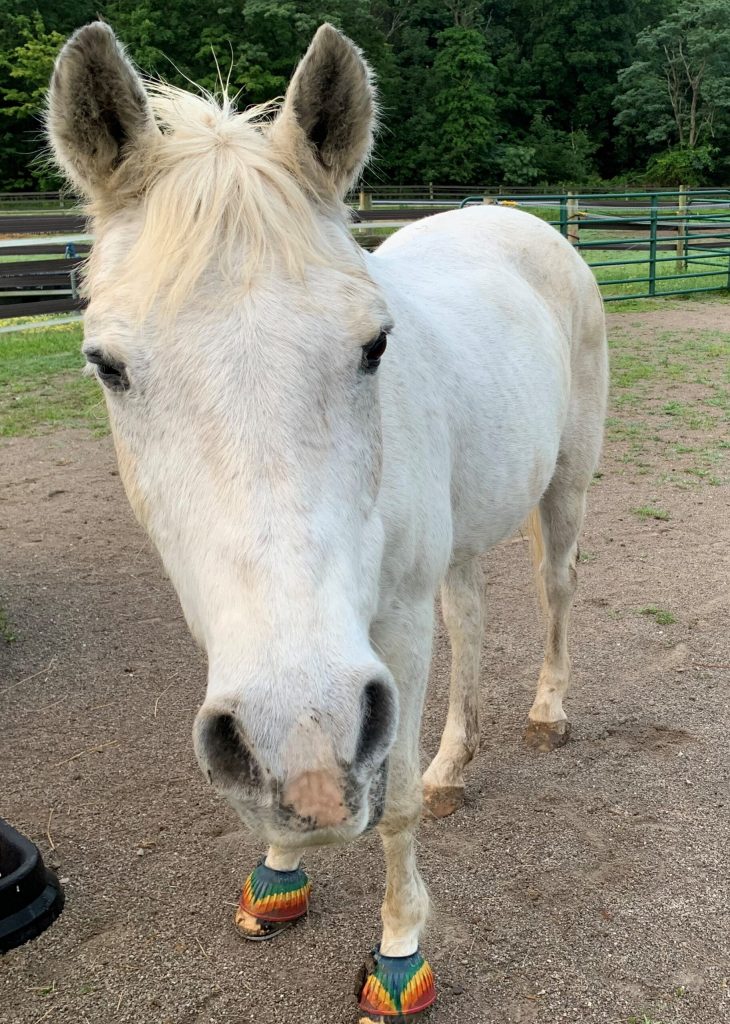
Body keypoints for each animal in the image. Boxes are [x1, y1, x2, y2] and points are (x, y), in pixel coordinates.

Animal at [48, 19, 606, 1019]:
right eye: (107, 366)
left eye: (374, 346)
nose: (305, 752)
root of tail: (524, 221)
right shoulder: (245, 639)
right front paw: (280, 867)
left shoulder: (390, 634)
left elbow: (392, 806)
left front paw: (400, 950)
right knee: (471, 620)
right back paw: (454, 763)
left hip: (564, 489)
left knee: (556, 590)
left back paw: (547, 714)